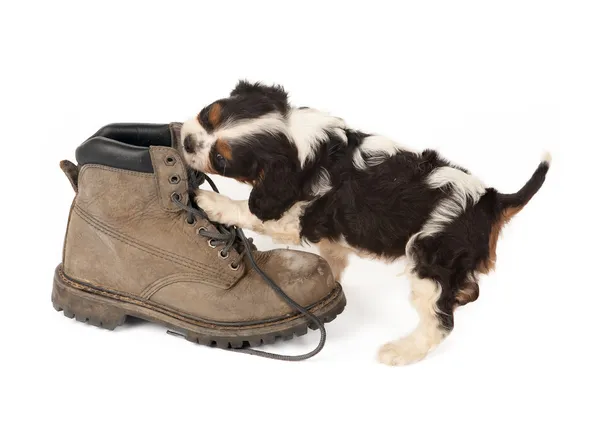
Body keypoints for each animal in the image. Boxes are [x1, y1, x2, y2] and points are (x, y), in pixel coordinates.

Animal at [180, 80, 552, 364]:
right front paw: (328, 276)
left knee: (439, 323)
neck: (305, 147)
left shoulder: (294, 214)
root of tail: (491, 199)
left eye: (221, 159)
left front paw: (211, 201)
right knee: (468, 289)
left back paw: (402, 351)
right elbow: (332, 256)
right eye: (207, 114)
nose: (185, 141)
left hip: (430, 264)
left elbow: (248, 210)